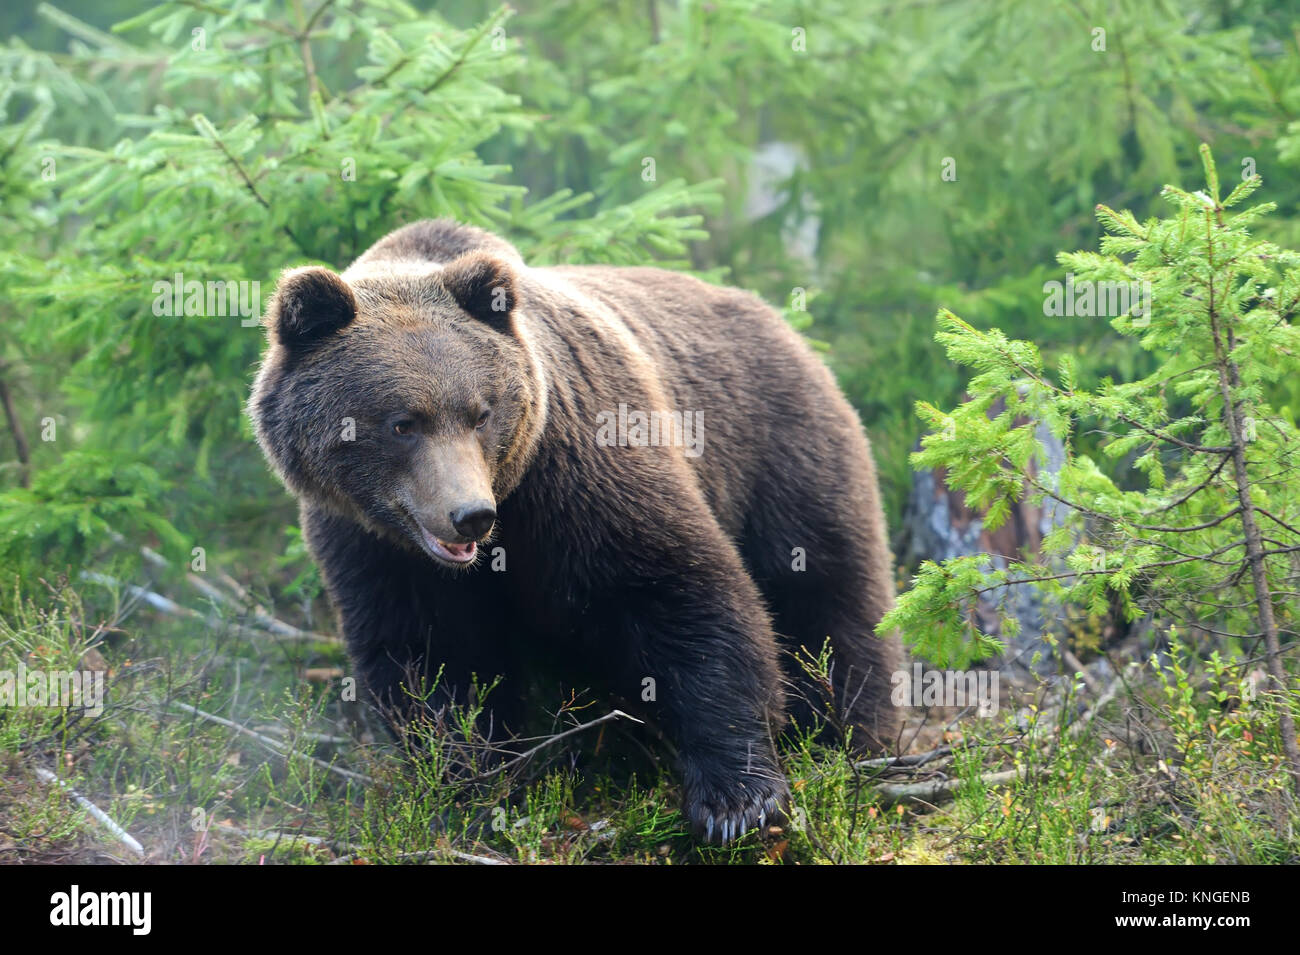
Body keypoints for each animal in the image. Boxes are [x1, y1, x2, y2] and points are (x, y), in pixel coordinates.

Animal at [248, 219, 901, 844]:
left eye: (480, 413)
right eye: (403, 423)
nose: (469, 514)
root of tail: (784, 324)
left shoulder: (579, 462)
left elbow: (681, 591)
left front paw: (736, 800)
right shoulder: (372, 544)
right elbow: (430, 660)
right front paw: (472, 790)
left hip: (779, 448)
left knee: (826, 593)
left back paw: (850, 737)